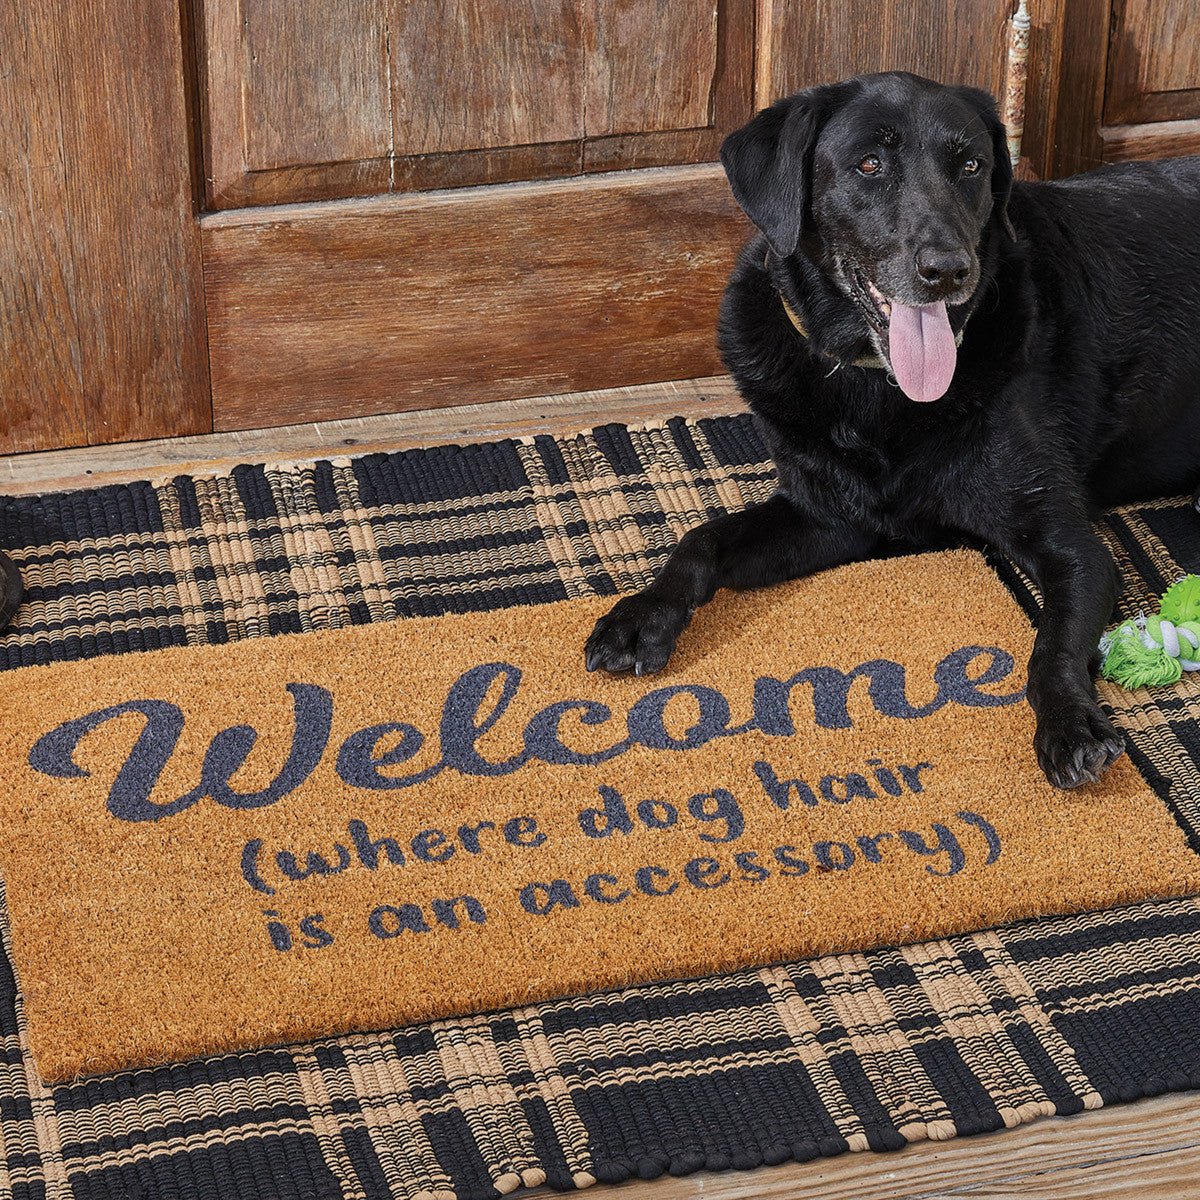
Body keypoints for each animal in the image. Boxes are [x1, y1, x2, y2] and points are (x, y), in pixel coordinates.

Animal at [585, 72, 1200, 787]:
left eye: (972, 166)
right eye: (870, 165)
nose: (948, 270)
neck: (876, 383)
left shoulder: (1070, 544)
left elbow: (1053, 643)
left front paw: (1070, 723)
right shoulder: (829, 516)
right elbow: (700, 537)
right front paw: (638, 617)